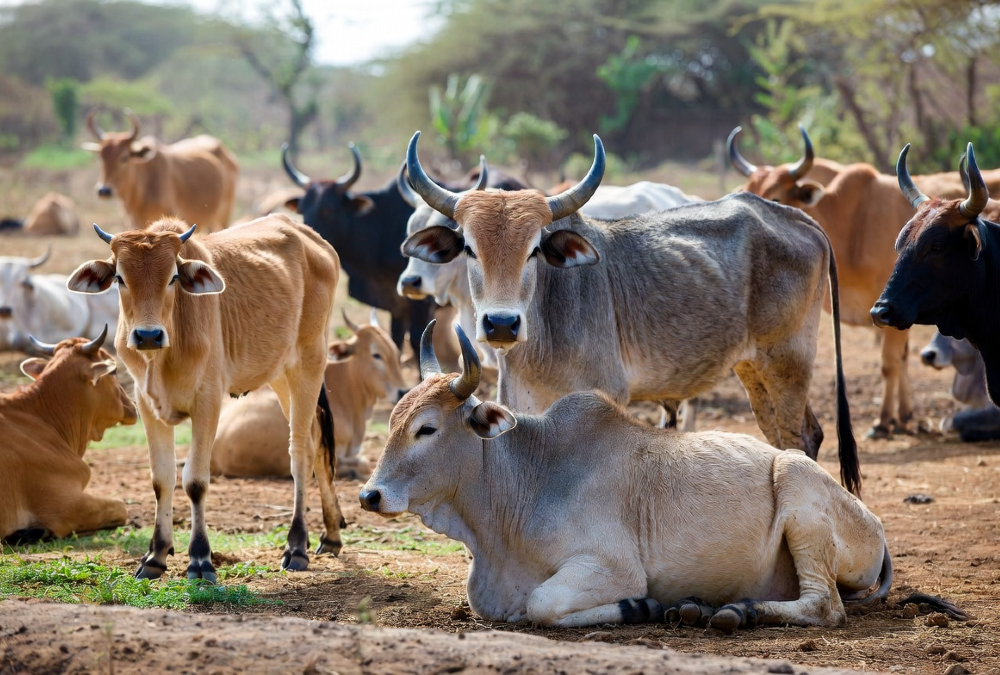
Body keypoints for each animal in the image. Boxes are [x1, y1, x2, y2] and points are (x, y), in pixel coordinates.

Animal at [67, 215, 341, 581]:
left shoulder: (208, 402)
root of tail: (312, 238)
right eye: (119, 278)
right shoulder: (147, 405)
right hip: (281, 376)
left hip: (308, 365)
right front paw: (155, 556)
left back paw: (296, 546)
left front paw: (200, 559)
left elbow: (195, 481)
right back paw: (332, 535)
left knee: (300, 454)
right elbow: (162, 479)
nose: (148, 335)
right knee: (317, 444)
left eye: (172, 277)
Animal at [358, 322, 901, 630]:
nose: (370, 496)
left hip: (797, 483)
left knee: (824, 608)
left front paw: (639, 608)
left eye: (427, 429)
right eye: (393, 421)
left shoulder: (612, 567)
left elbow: (542, 604)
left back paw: (736, 611)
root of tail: (875, 525)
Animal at [402, 131, 862, 494]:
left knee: (799, 438)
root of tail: (790, 214)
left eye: (534, 249)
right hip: (756, 370)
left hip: (789, 361)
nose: (501, 324)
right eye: (468, 247)